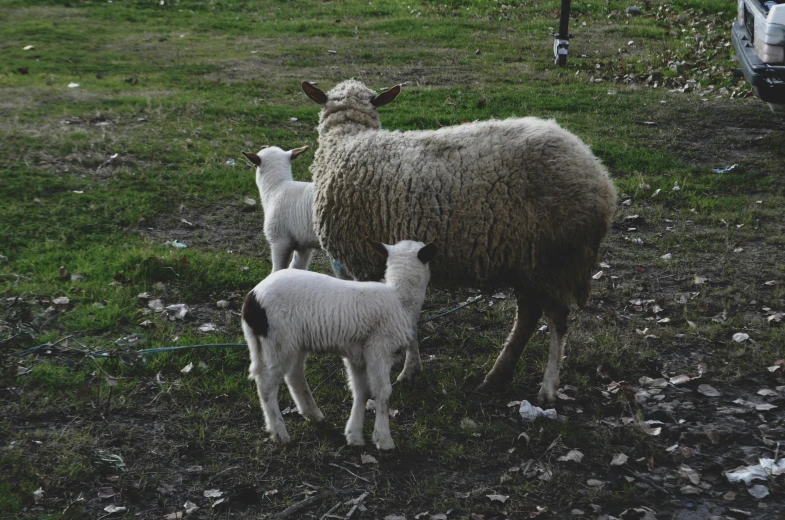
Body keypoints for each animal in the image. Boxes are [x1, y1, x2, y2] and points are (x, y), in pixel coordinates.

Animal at [240, 238, 434, 448]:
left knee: (294, 375)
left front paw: (354, 435)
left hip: (294, 342)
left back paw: (313, 414)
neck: (400, 297)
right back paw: (279, 432)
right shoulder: (378, 349)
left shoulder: (357, 356)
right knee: (267, 384)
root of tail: (252, 299)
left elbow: (361, 391)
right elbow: (382, 392)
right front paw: (383, 439)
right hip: (278, 341)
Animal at [300, 79, 612, 402]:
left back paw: (547, 387)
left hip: (553, 259)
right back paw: (496, 377)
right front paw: (408, 367)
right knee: (528, 315)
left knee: (557, 319)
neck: (347, 141)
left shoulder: (361, 262)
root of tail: (600, 178)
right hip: (530, 262)